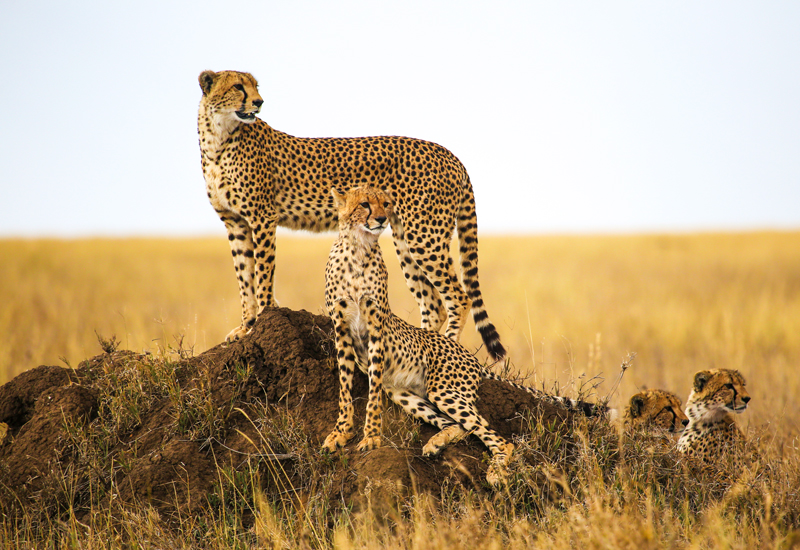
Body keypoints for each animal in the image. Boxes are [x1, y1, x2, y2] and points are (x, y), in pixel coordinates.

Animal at [197, 70, 504, 362]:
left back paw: (447, 348)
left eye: (255, 86)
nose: (259, 102)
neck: (218, 139)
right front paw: (246, 327)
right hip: (406, 240)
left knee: (459, 298)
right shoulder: (235, 223)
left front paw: (261, 321)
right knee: (433, 305)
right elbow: (244, 277)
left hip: (424, 236)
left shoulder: (262, 217)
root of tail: (451, 155)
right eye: (238, 86)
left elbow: (262, 275)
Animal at [318, 187, 608, 488]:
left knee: (498, 438)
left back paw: (495, 472)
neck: (358, 248)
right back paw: (435, 444)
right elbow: (344, 388)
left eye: (386, 203)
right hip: (403, 392)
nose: (382, 218)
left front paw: (371, 437)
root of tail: (470, 356)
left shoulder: (376, 328)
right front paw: (340, 433)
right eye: (365, 204)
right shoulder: (341, 330)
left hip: (444, 390)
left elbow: (372, 393)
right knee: (456, 425)